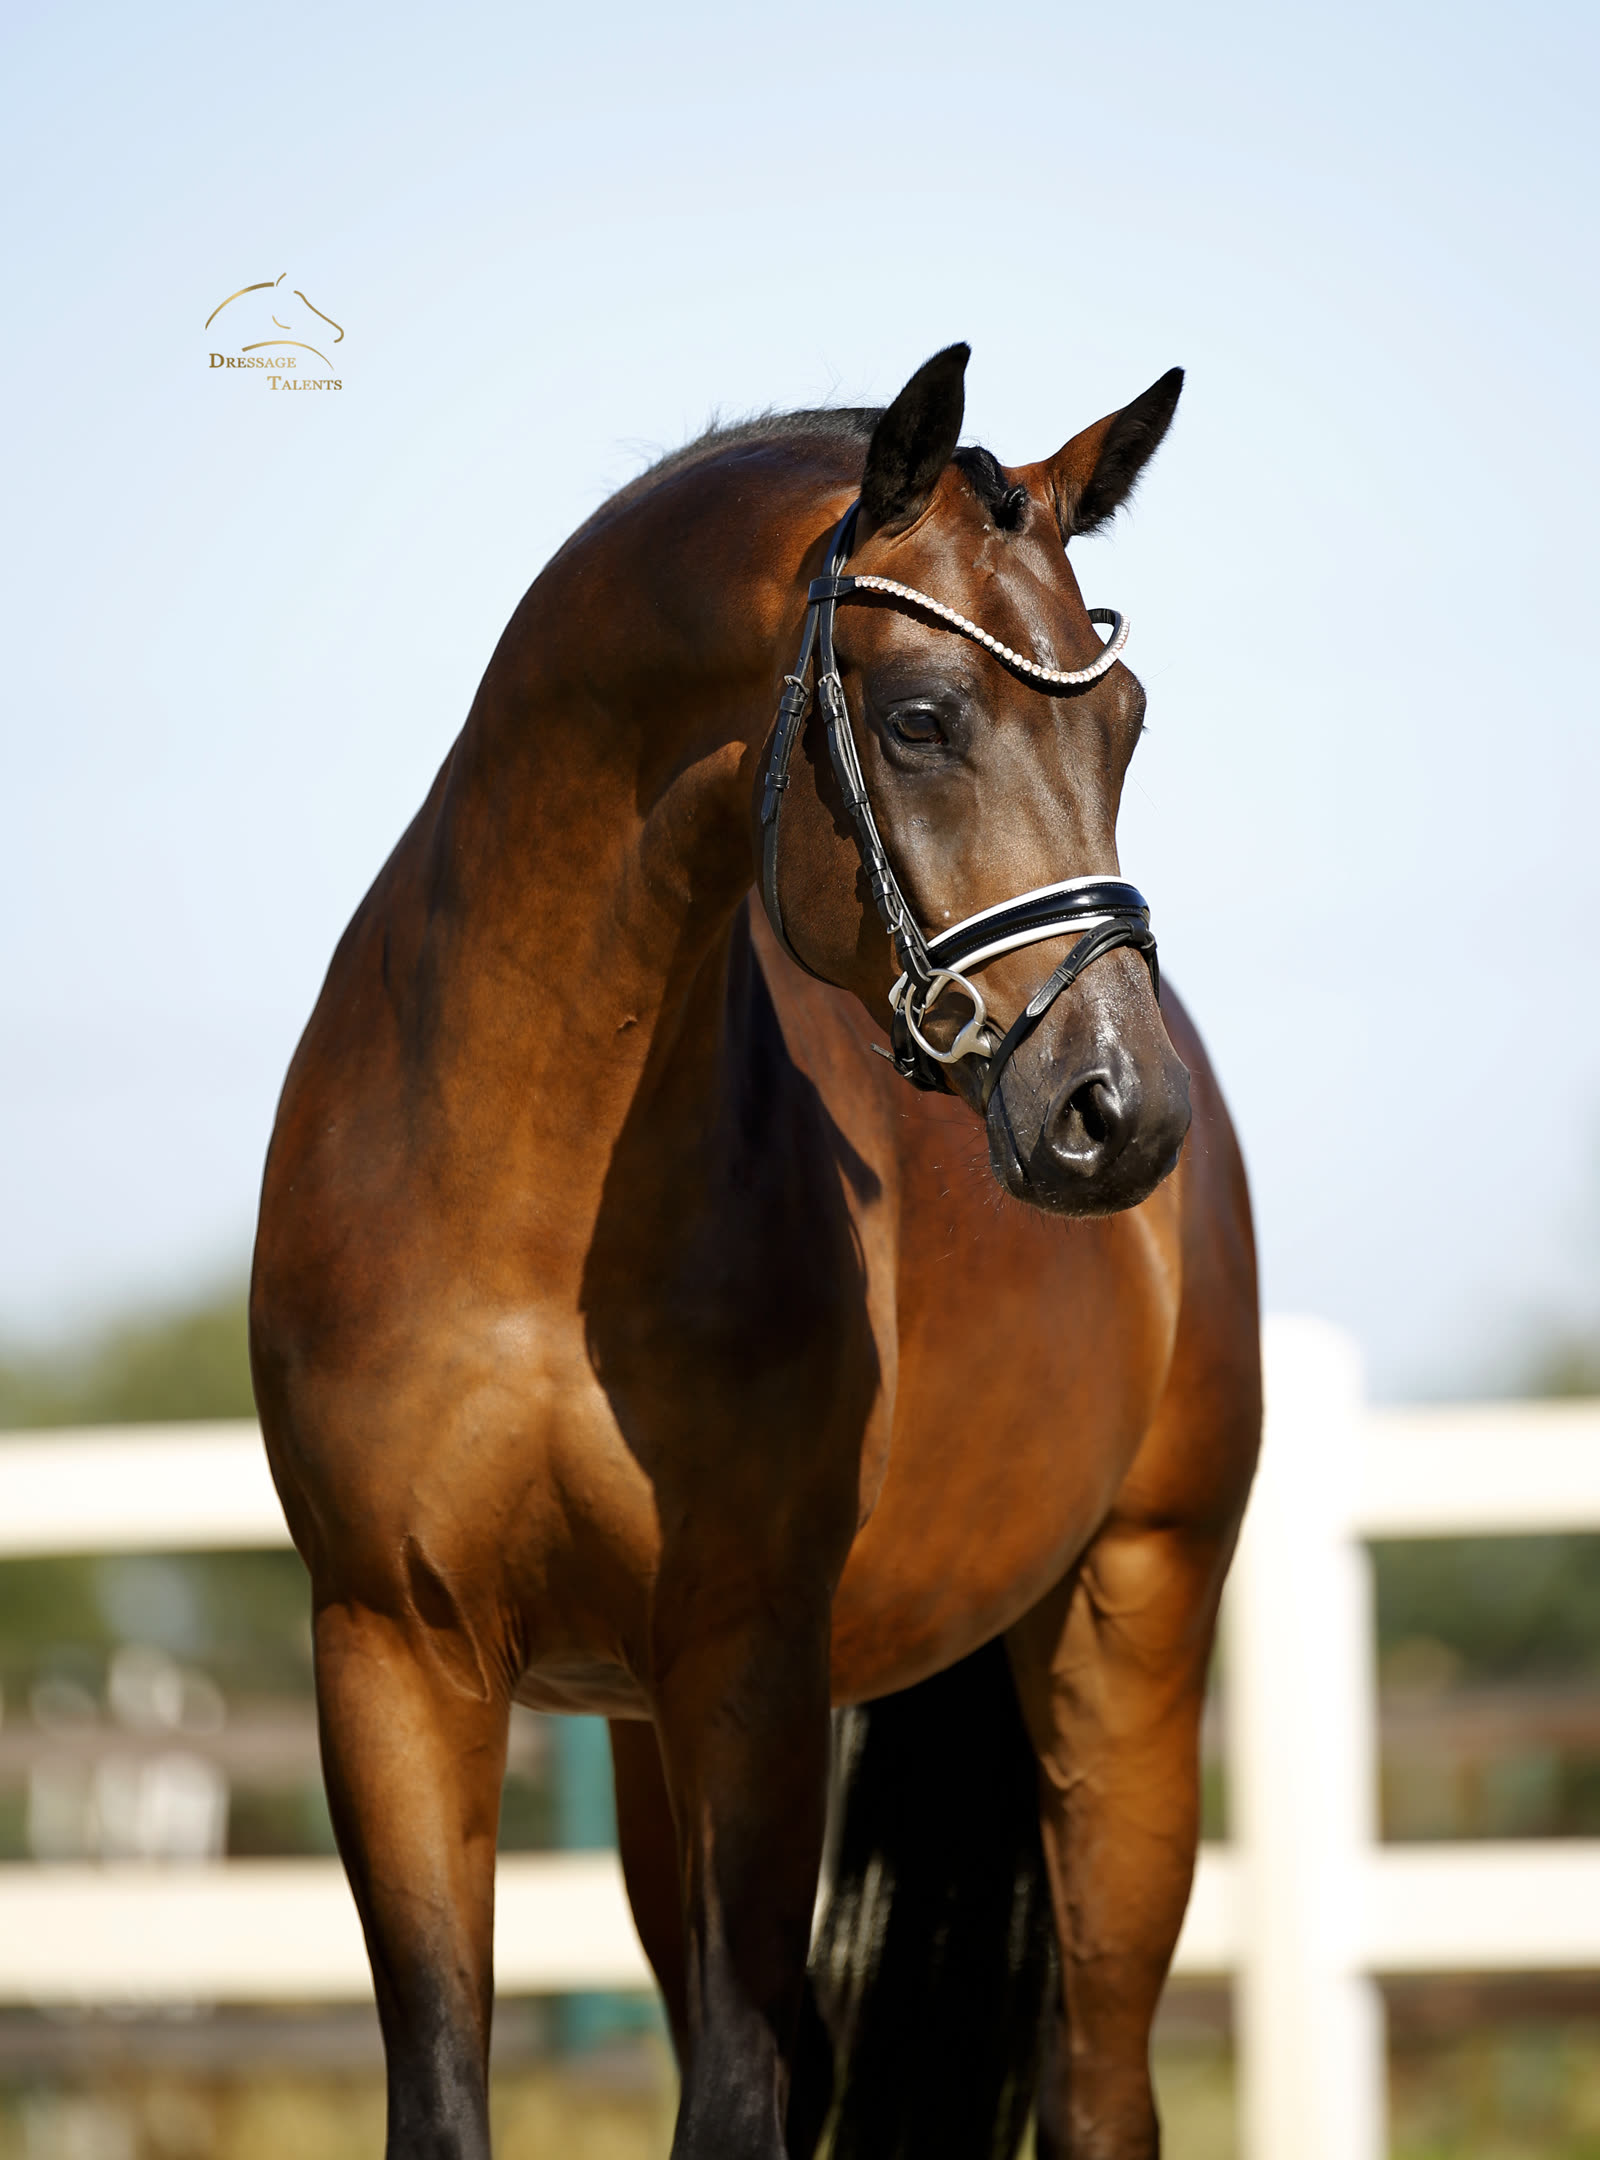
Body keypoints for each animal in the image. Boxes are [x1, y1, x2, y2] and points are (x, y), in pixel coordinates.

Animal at [250, 343, 1261, 2160]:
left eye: (1126, 722)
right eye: (921, 718)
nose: (1116, 1113)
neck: (525, 1194)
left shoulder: (753, 1664)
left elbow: (734, 2102)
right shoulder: (393, 1658)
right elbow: (447, 2092)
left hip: (1134, 1632)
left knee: (1099, 2091)